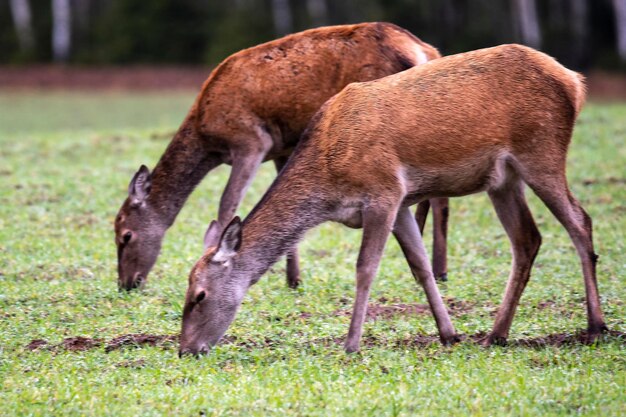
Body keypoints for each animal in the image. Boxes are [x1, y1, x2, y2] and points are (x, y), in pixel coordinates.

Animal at [113, 22, 448, 290]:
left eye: (125, 235)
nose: (127, 283)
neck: (207, 136)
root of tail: (424, 51)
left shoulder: (250, 141)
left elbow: (227, 203)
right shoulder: (281, 148)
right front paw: (293, 278)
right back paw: (434, 265)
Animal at [178, 44, 608, 354]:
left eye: (199, 295)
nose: (186, 349)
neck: (327, 181)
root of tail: (575, 82)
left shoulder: (383, 192)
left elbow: (366, 268)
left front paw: (351, 344)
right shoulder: (401, 203)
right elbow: (420, 266)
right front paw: (449, 334)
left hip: (542, 151)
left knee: (579, 221)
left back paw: (595, 327)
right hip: (502, 179)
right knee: (527, 239)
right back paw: (495, 334)